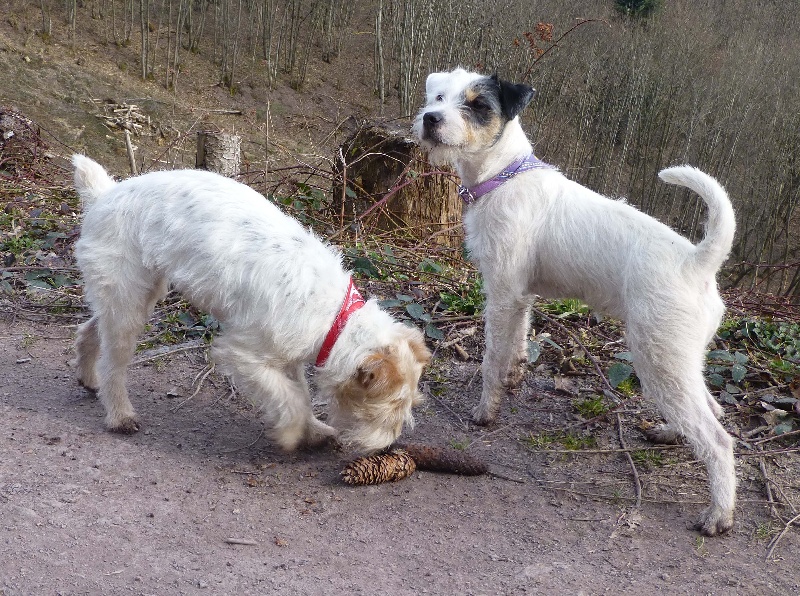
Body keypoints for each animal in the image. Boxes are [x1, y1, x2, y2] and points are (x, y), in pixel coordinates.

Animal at [416, 66, 740, 536]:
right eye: (438, 96)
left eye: (477, 105)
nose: (430, 119)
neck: (504, 174)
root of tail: (697, 261)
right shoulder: (521, 297)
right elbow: (517, 344)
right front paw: (515, 376)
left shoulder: (502, 294)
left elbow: (492, 357)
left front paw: (485, 409)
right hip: (682, 361)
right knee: (710, 408)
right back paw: (670, 433)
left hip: (658, 359)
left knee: (717, 438)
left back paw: (719, 513)